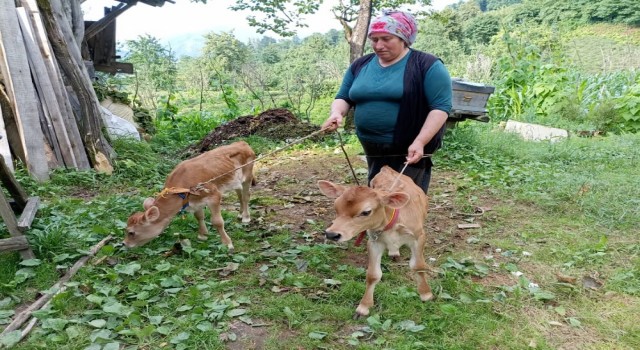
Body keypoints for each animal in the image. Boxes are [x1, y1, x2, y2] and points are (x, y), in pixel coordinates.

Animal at [125, 139, 255, 252]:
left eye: (131, 232)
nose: (124, 243)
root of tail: (242, 143)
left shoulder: (214, 196)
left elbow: (217, 222)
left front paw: (227, 243)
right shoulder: (195, 202)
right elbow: (199, 216)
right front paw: (203, 235)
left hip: (248, 175)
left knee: (245, 196)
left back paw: (246, 217)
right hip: (235, 181)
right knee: (239, 194)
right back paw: (240, 214)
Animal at [318, 165, 432, 318]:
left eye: (366, 212)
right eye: (336, 206)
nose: (331, 234)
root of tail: (387, 168)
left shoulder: (418, 236)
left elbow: (418, 266)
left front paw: (426, 294)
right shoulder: (374, 242)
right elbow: (372, 275)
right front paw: (363, 307)